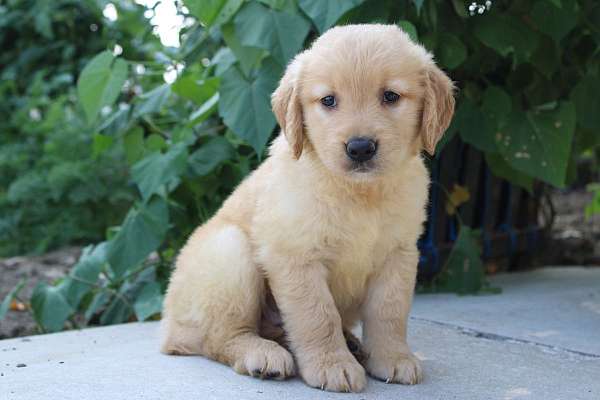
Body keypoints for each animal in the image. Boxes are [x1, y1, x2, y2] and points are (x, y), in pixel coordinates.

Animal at [161, 23, 454, 392]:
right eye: (328, 100)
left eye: (391, 96)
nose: (360, 148)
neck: (358, 193)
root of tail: (167, 329)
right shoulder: (295, 255)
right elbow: (317, 314)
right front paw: (333, 365)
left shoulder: (398, 254)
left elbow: (389, 312)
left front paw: (393, 357)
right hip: (230, 253)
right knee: (220, 337)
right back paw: (263, 354)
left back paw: (350, 344)